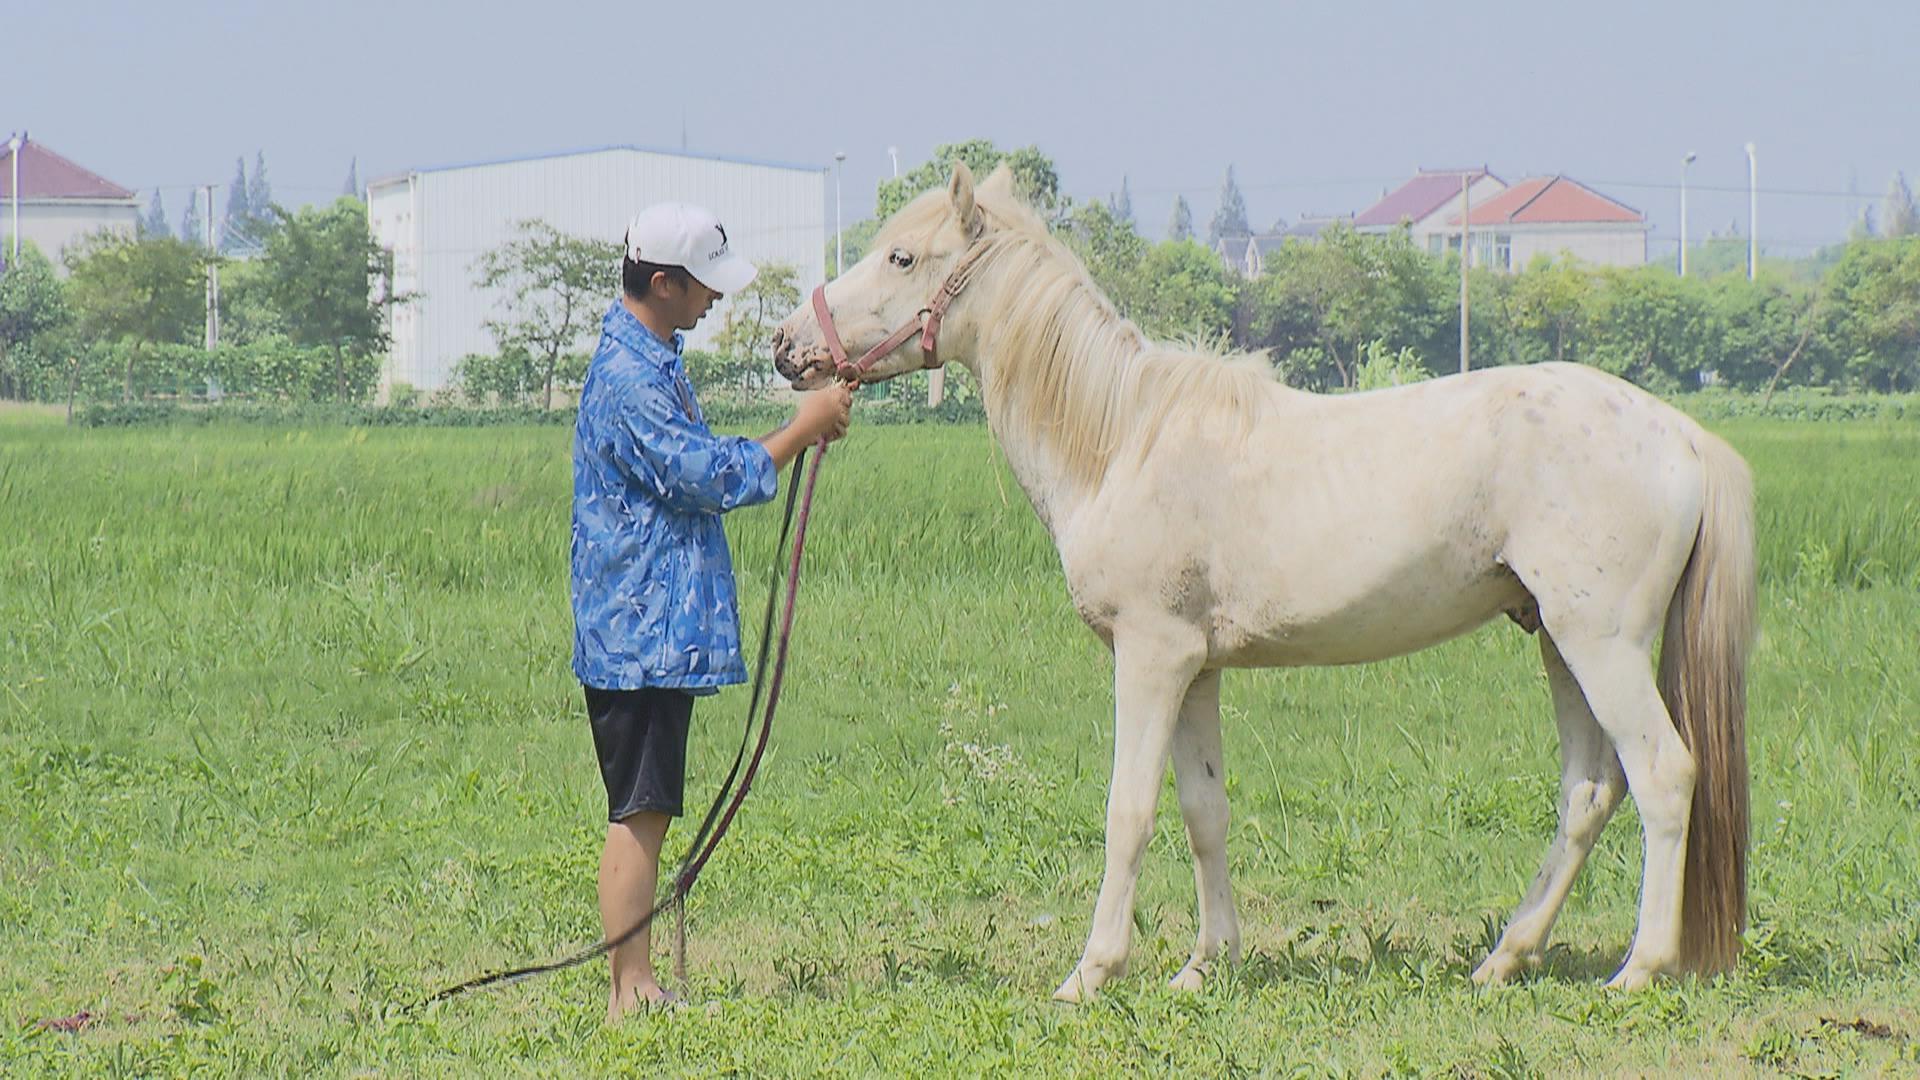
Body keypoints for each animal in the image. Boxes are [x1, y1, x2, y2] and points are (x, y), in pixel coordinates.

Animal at [775, 164, 1758, 999]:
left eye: (902, 257)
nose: (788, 346)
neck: (1122, 440)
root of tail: (1682, 436)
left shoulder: (1151, 657)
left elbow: (1129, 810)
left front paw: (1091, 974)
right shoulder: (1197, 668)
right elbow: (1203, 810)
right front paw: (1205, 965)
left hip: (1604, 644)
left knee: (1663, 773)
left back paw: (1638, 970)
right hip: (1556, 639)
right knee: (1589, 792)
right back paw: (1504, 959)